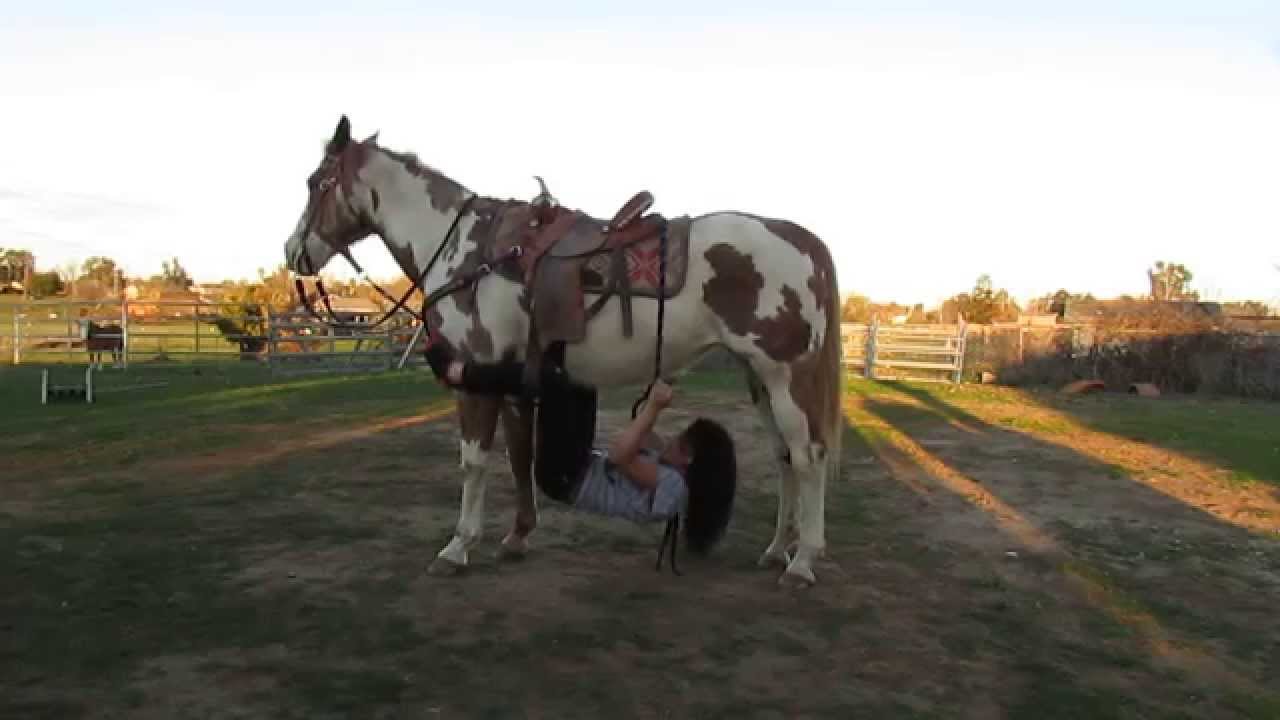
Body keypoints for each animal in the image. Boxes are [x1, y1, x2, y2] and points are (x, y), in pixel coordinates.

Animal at [283, 115, 844, 586]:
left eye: (315, 182)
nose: (293, 253)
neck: (469, 250)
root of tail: (801, 239)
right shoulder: (518, 379)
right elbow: (519, 455)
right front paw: (517, 536)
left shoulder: (478, 372)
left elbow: (475, 461)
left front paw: (458, 546)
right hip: (757, 377)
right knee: (784, 457)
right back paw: (776, 549)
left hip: (786, 376)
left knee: (809, 456)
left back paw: (802, 561)